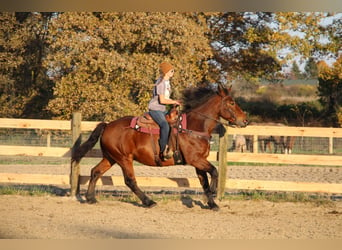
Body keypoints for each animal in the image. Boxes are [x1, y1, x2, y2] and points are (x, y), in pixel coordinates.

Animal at [73, 83, 248, 209]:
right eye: (231, 103)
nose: (245, 120)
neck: (194, 127)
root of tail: (108, 125)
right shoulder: (196, 160)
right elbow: (215, 171)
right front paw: (213, 192)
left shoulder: (199, 162)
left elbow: (204, 181)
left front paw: (212, 203)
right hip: (124, 159)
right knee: (130, 180)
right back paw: (148, 202)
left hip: (111, 158)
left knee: (95, 172)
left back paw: (90, 198)